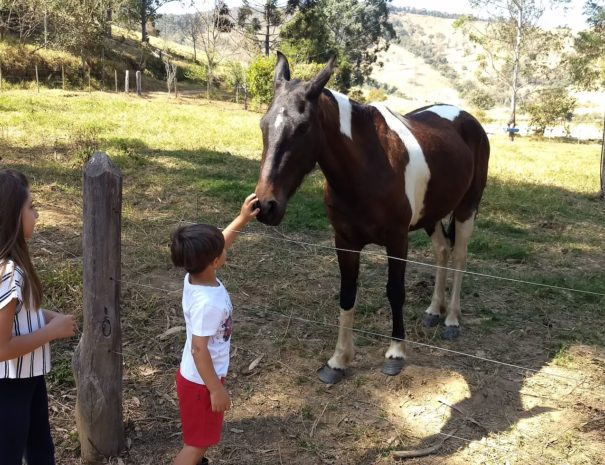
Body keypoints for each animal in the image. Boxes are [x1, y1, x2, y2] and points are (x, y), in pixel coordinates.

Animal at [252, 52, 488, 382]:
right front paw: (338, 361)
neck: (368, 166)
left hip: (467, 207)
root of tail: (467, 118)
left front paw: (396, 353)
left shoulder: (397, 241)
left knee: (459, 257)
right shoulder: (345, 241)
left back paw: (451, 319)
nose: (266, 205)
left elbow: (395, 292)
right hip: (432, 214)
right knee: (442, 251)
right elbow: (347, 294)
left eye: (303, 127)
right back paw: (433, 311)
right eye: (264, 124)